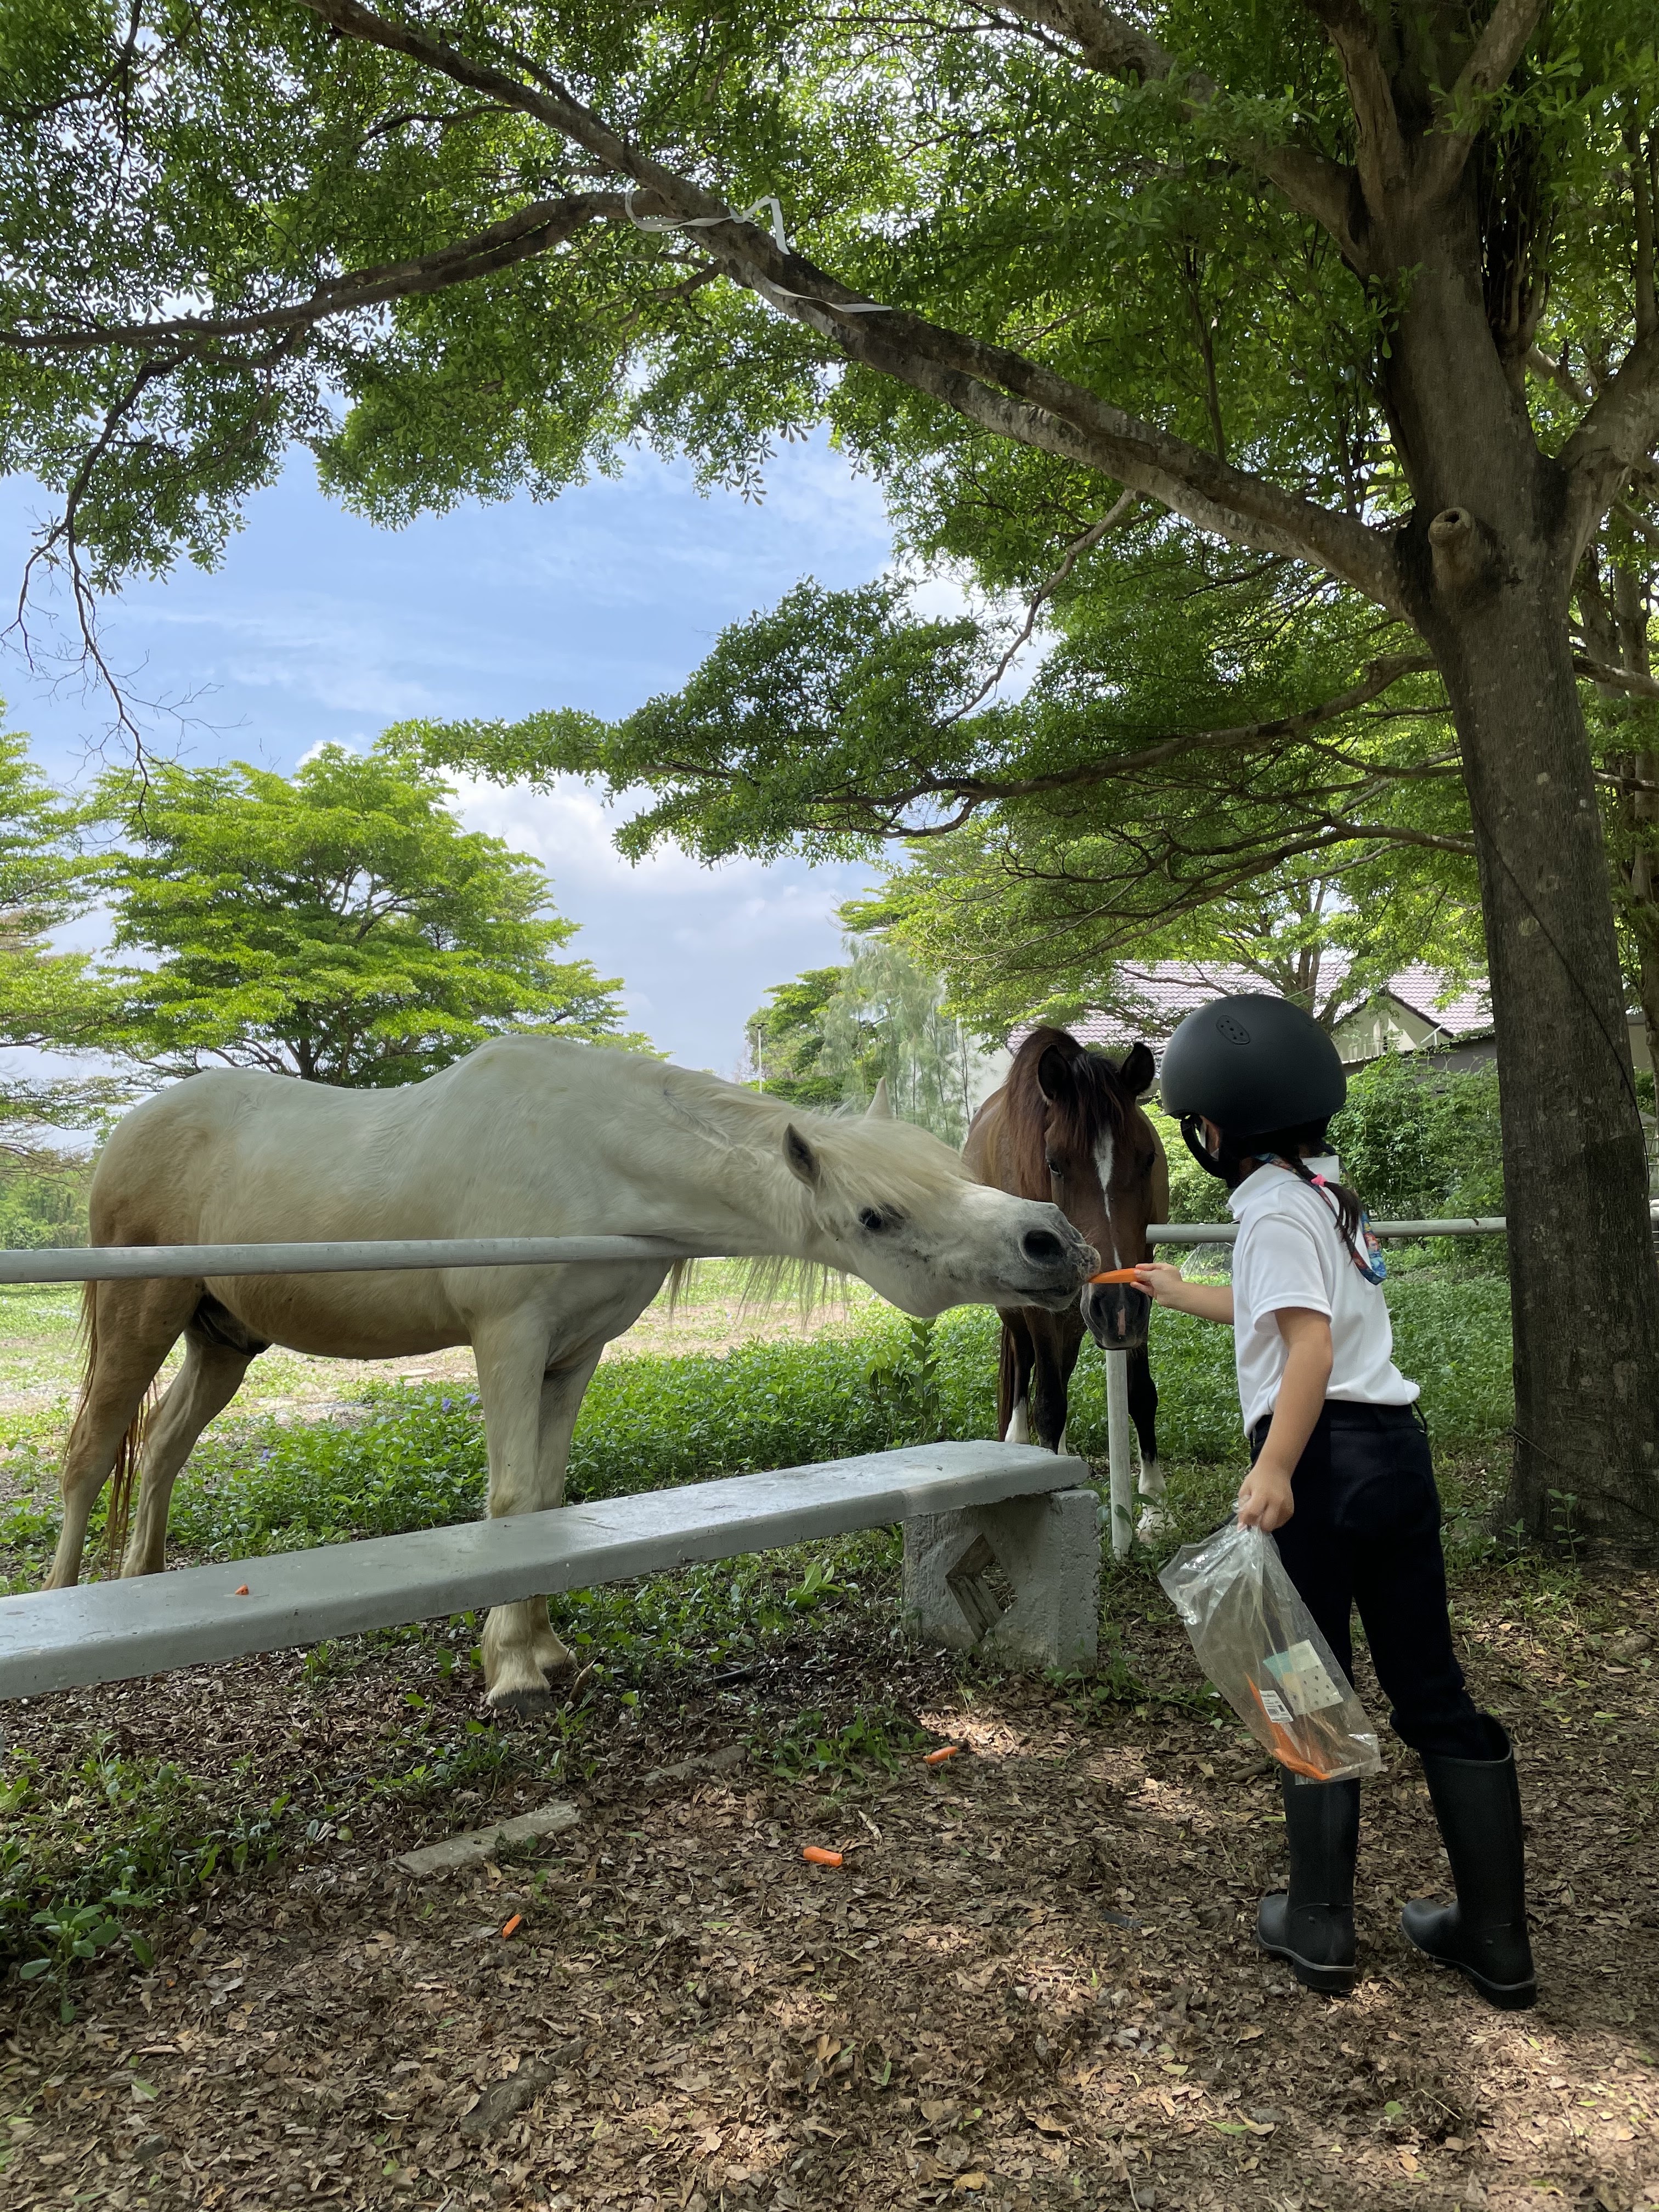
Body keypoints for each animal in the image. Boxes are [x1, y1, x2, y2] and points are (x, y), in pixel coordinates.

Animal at [45, 1037, 1096, 1711]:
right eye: (879, 1215)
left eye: (949, 1166)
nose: (1055, 1243)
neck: (591, 1153)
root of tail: (127, 1133)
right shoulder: (508, 1339)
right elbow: (512, 1501)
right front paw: (510, 1671)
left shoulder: (573, 1354)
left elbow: (548, 1500)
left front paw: (545, 1650)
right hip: (139, 1315)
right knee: (92, 1451)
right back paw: (62, 1607)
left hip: (220, 1340)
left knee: (164, 1446)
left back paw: (138, 1582)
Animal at [964, 1027, 1168, 1500]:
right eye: (1054, 1164)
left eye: (1148, 1158)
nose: (1117, 1309)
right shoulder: (1038, 1303)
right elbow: (1049, 1402)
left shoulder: (1140, 1279)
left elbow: (1140, 1392)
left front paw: (1152, 1498)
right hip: (1019, 1308)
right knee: (1025, 1364)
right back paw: (1020, 1443)